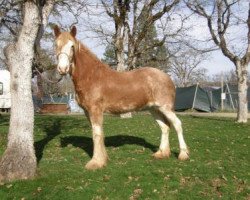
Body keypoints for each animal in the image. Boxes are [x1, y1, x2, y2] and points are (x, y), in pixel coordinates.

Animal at [53, 25, 189, 170]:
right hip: (154, 109)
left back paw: (183, 154)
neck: (91, 76)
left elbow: (97, 134)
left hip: (165, 108)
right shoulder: (87, 111)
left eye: (72, 46)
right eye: (56, 44)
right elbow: (97, 133)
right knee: (165, 127)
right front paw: (103, 159)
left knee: (177, 124)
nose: (62, 69)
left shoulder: (95, 110)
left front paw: (96, 162)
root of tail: (167, 78)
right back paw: (161, 153)